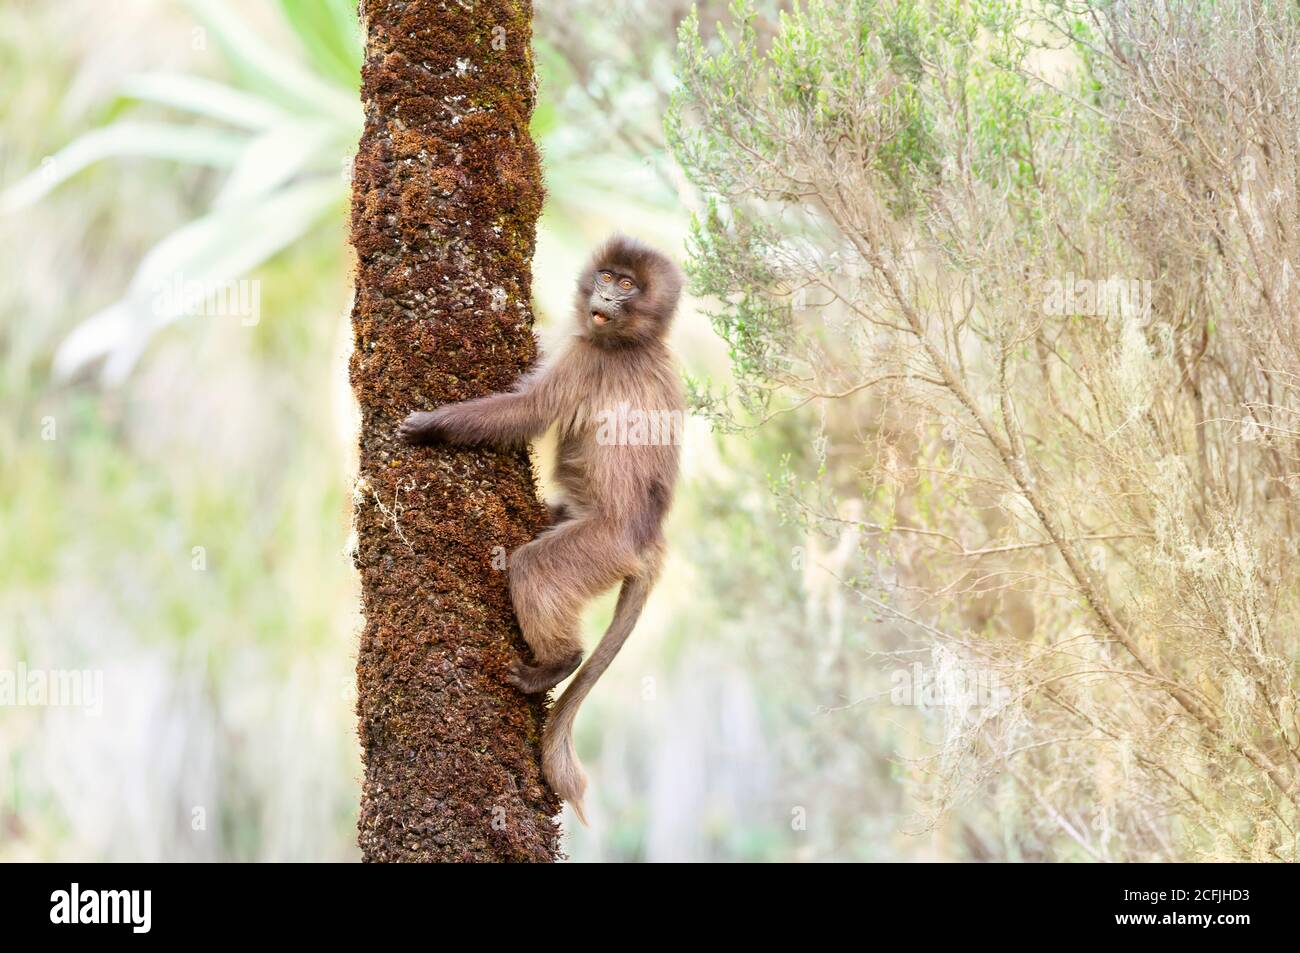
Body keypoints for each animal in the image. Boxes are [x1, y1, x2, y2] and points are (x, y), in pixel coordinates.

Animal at [397, 234, 686, 821]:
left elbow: (527, 411)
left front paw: (432, 425)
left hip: (602, 546)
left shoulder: (587, 358)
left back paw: (557, 663)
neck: (633, 342)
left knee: (534, 566)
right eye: (608, 276)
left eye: (627, 285)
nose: (606, 296)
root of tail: (649, 540)